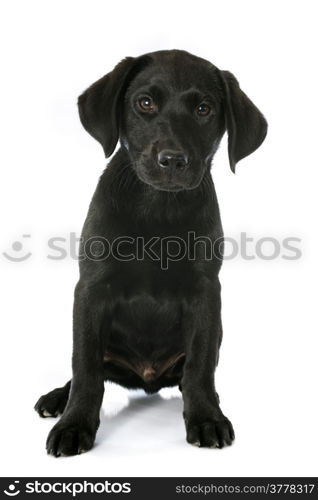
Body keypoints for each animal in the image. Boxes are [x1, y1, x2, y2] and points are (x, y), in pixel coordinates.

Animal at [34, 48, 268, 456]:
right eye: (144, 103)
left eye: (204, 109)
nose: (173, 159)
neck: (157, 207)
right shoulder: (91, 290)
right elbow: (85, 369)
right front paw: (74, 425)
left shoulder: (205, 293)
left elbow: (200, 367)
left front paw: (206, 417)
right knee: (85, 371)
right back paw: (56, 399)